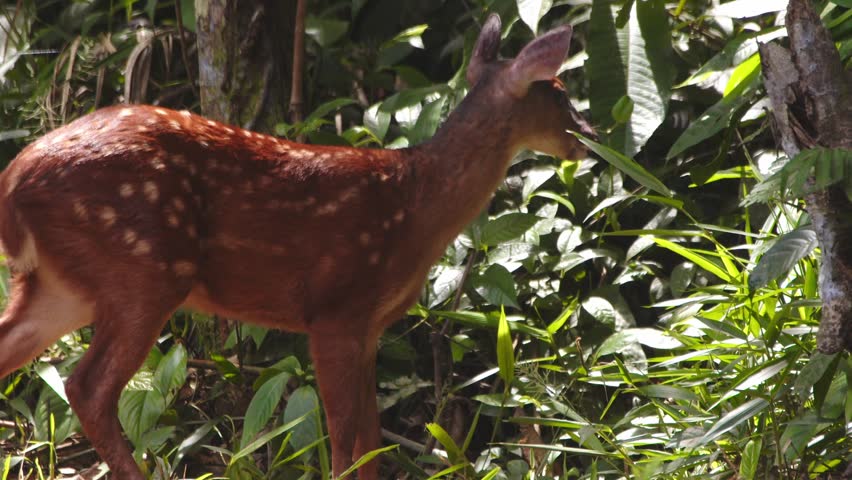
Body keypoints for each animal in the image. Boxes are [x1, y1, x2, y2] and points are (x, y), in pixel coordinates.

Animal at [0, 14, 593, 479]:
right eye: (560, 91)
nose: (587, 138)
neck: (415, 208)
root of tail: (16, 181)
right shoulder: (335, 311)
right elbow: (346, 447)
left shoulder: (369, 327)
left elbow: (371, 445)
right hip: (142, 269)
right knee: (88, 387)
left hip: (63, 285)